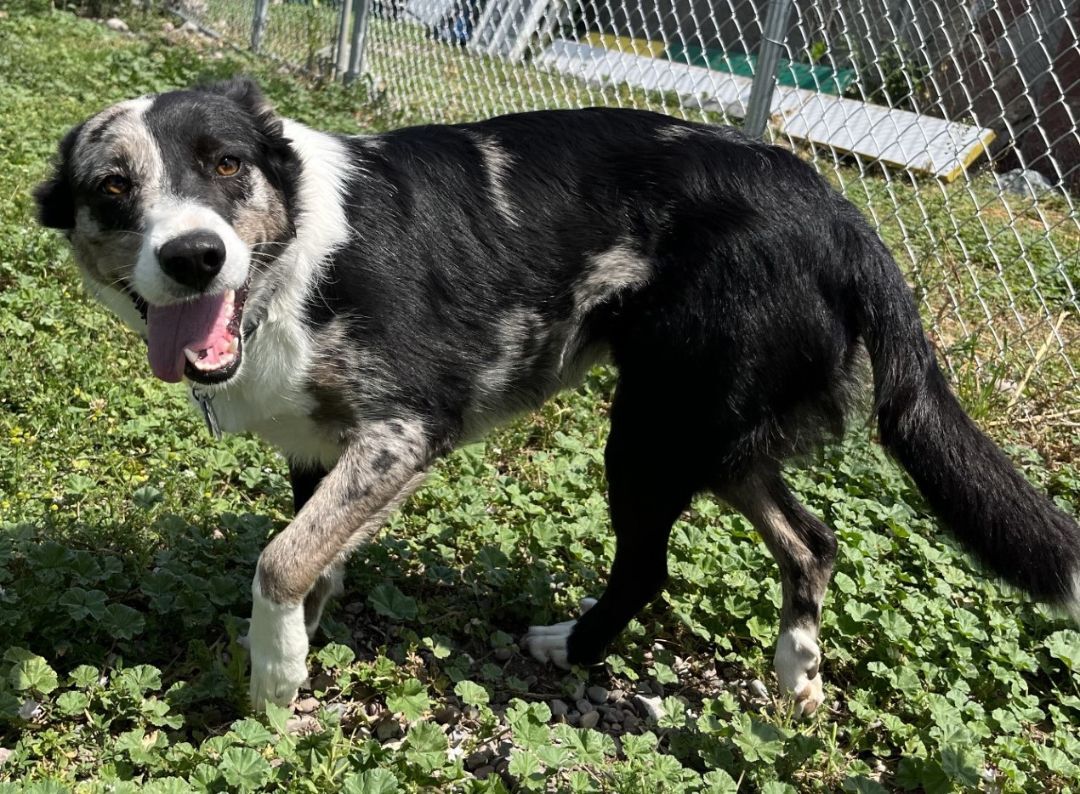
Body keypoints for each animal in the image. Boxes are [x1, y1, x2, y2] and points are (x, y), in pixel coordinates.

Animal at [35, 79, 1080, 712]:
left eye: (226, 165)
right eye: (112, 187)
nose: (194, 256)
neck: (291, 257)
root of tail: (841, 214)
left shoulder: (404, 433)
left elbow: (280, 562)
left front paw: (276, 679)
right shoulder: (319, 451)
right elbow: (313, 559)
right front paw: (293, 653)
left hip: (652, 433)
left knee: (650, 568)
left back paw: (571, 650)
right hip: (714, 433)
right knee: (812, 541)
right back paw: (797, 676)